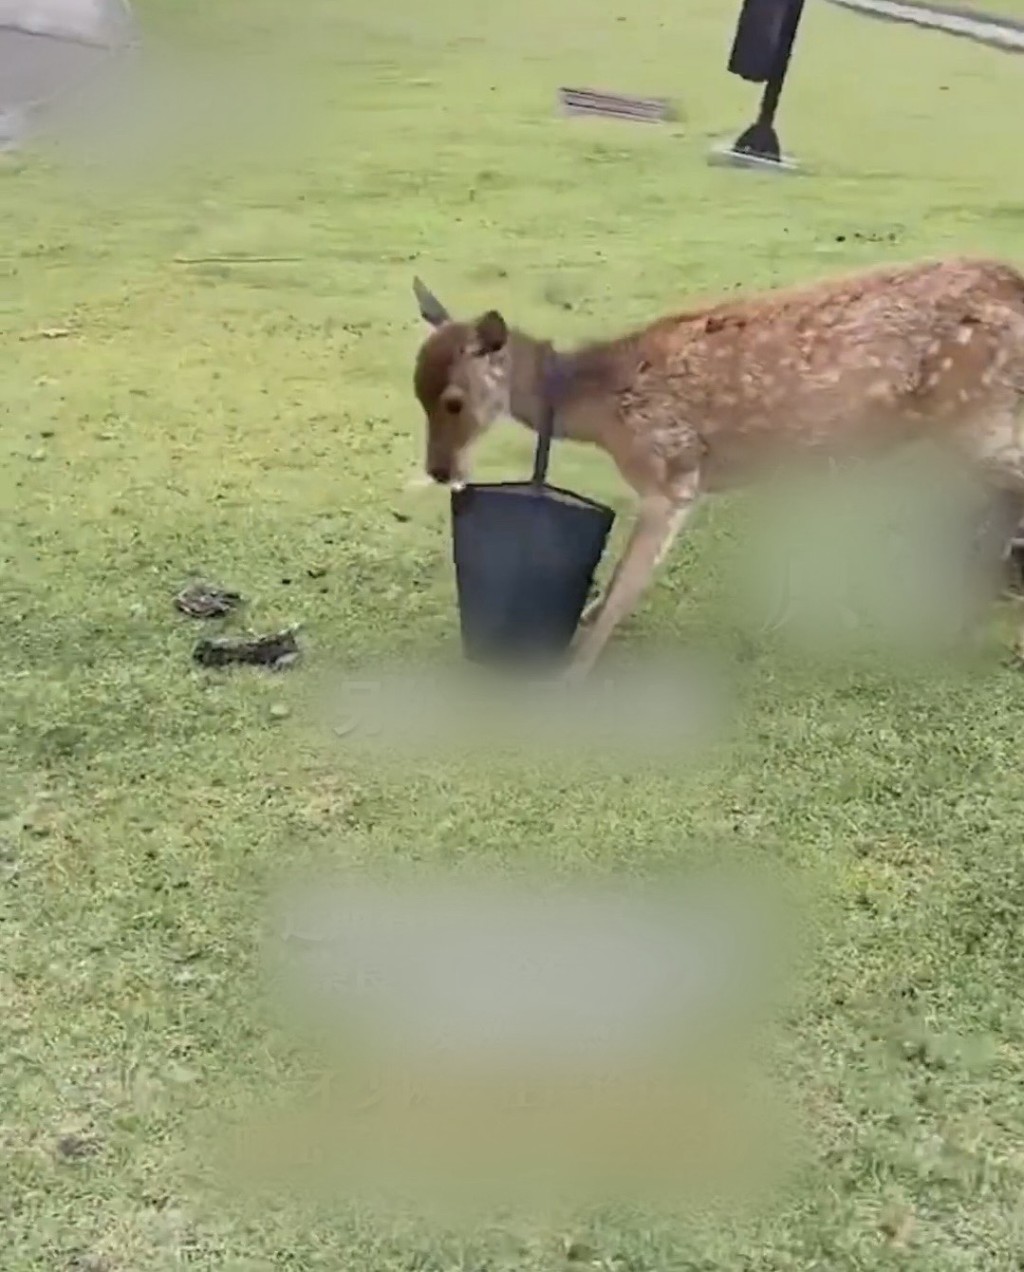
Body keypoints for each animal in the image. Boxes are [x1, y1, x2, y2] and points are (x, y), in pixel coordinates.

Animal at [411, 257, 1024, 678]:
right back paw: (961, 628)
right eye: (417, 391)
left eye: (453, 402)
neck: (603, 409)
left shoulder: (672, 471)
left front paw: (571, 672)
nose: (439, 470)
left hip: (976, 418)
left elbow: (628, 580)